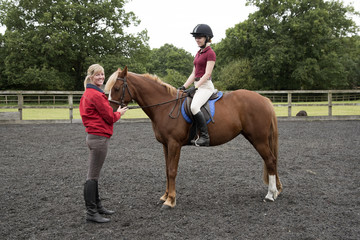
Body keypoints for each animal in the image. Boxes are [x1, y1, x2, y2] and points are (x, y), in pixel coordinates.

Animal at [105, 66, 282, 209]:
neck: (165, 106)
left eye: (117, 87)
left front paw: (170, 201)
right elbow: (166, 170)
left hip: (258, 139)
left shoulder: (174, 144)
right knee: (271, 161)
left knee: (270, 160)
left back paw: (270, 194)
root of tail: (264, 99)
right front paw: (165, 196)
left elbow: (172, 170)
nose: (110, 110)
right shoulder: (165, 145)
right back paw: (275, 192)